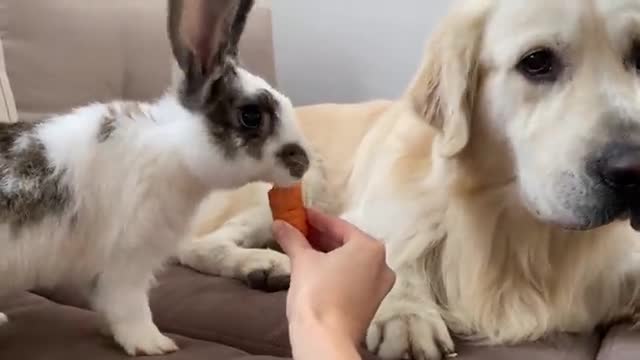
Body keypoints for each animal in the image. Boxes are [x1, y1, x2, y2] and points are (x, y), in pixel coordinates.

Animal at [0, 0, 310, 354]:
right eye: (251, 115)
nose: (303, 162)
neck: (173, 149)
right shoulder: (128, 258)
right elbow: (130, 307)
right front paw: (155, 344)